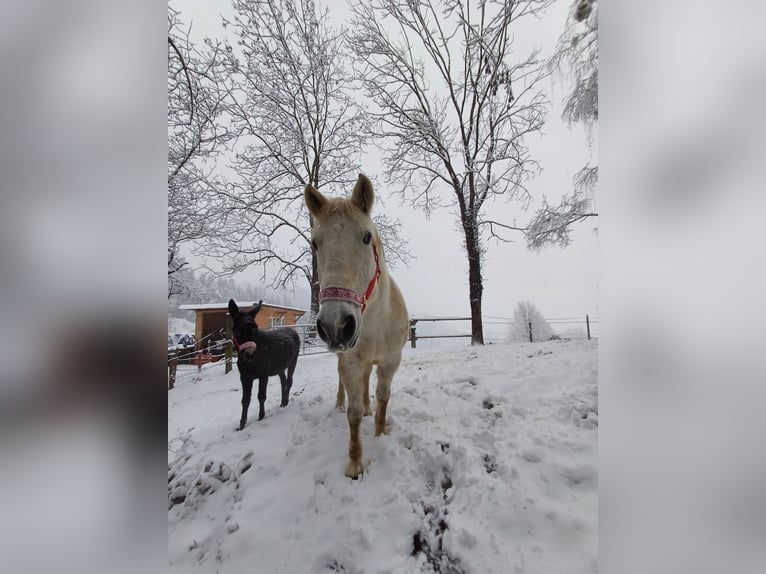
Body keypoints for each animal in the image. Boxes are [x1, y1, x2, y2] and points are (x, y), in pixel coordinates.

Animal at [228, 299, 301, 430]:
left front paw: (261, 417)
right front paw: (241, 424)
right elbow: (245, 400)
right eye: (237, 330)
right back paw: (282, 402)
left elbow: (261, 396)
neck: (250, 363)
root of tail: (292, 330)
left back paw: (286, 401)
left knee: (289, 381)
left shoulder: (263, 375)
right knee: (283, 380)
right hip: (279, 367)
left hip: (293, 361)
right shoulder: (245, 377)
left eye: (255, 327)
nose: (250, 353)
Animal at [304, 174, 409, 478]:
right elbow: (352, 414)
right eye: (315, 243)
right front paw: (354, 465)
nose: (336, 325)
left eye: (366, 237)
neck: (375, 323)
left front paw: (380, 433)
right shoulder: (351, 362)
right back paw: (342, 404)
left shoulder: (390, 361)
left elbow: (383, 397)